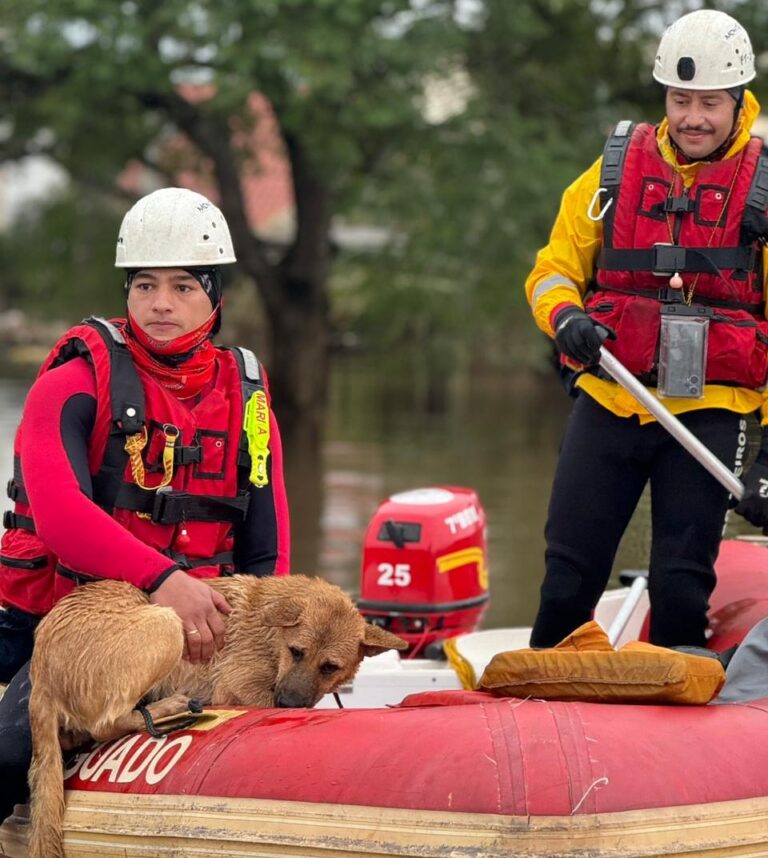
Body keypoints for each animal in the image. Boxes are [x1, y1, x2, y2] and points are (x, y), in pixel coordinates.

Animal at [27, 568, 404, 856]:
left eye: (329, 667)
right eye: (297, 652)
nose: (290, 705)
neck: (270, 635)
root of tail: (41, 673)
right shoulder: (237, 685)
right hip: (166, 623)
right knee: (106, 723)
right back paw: (169, 707)